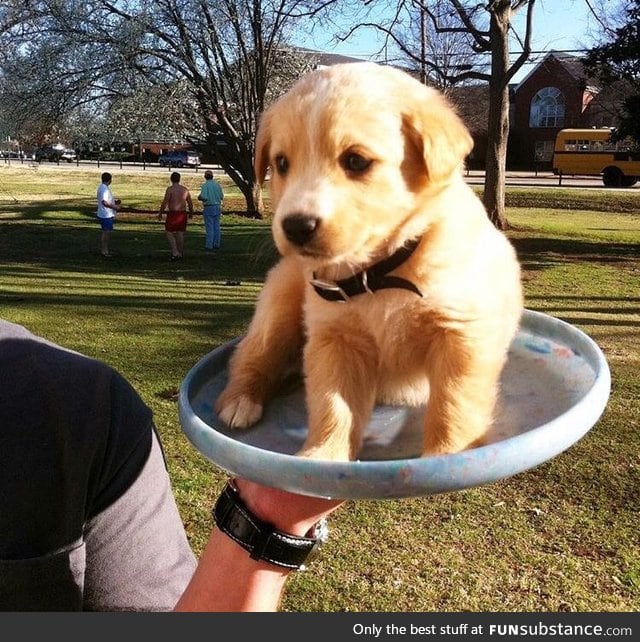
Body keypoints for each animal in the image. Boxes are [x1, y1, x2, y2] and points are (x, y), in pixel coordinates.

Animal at [215, 63, 524, 460]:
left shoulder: (462, 334)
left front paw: (444, 457)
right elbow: (333, 406)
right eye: (281, 163)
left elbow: (452, 406)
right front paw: (323, 457)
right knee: (251, 353)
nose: (296, 226)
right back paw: (241, 399)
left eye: (356, 161)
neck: (380, 272)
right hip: (279, 302)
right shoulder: (335, 339)